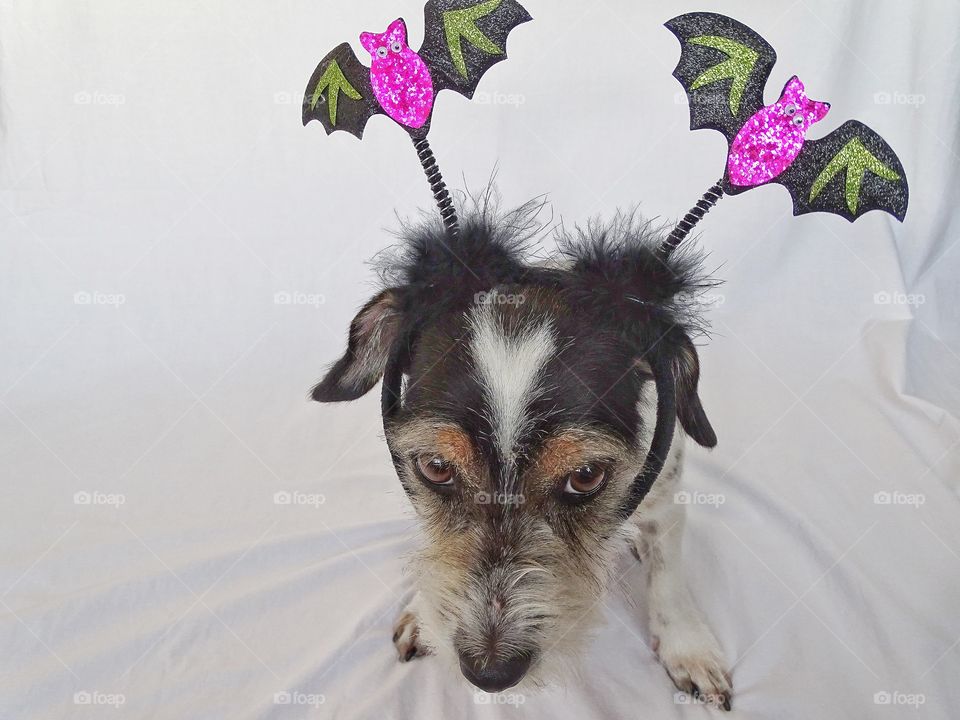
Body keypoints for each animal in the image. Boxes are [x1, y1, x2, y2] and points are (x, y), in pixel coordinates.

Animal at [312, 200, 732, 712]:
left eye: (586, 476)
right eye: (436, 468)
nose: (490, 674)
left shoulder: (665, 502)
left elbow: (668, 576)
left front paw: (688, 647)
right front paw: (420, 609)